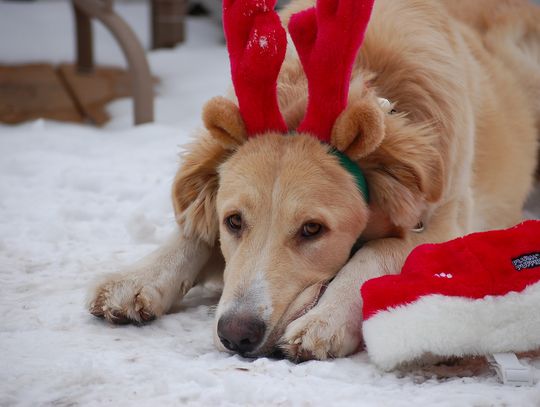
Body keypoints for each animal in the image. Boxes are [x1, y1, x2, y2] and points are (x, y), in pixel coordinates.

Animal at [88, 0, 540, 364]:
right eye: (233, 221)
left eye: (312, 230)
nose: (236, 335)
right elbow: (192, 234)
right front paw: (135, 279)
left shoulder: (445, 223)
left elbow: (375, 253)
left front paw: (326, 321)